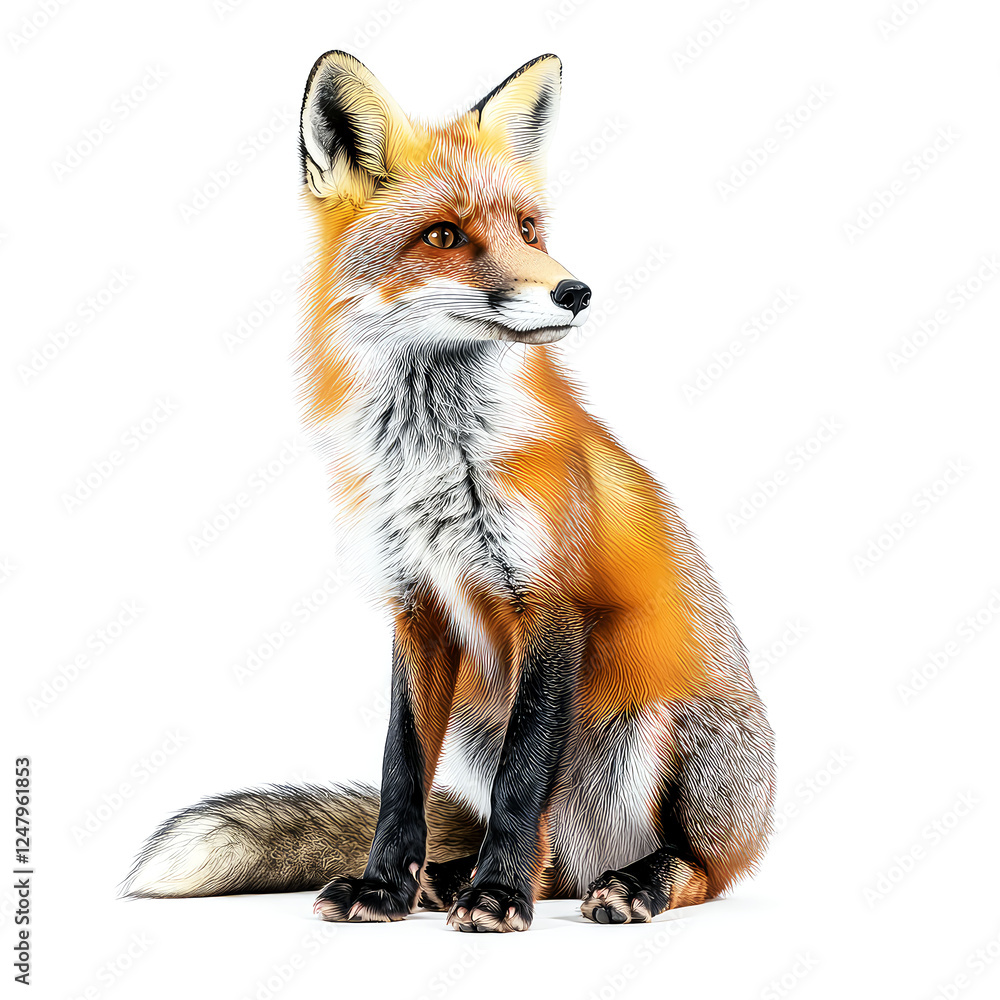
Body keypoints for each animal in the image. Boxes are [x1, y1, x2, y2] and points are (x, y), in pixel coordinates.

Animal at [124, 50, 775, 932]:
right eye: (444, 236)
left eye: (529, 230)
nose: (576, 292)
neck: (434, 462)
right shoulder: (415, 608)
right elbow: (401, 772)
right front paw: (385, 887)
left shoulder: (551, 605)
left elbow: (520, 781)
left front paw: (496, 897)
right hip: (478, 720)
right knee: (547, 859)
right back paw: (447, 879)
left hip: (663, 728)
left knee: (697, 868)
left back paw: (625, 882)